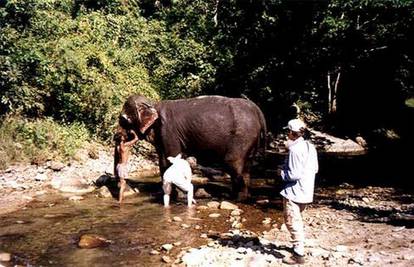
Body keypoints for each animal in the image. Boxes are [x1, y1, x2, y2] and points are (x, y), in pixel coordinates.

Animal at [118, 95, 266, 200]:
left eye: (123, 120)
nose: (117, 136)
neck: (154, 104)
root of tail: (257, 109)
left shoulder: (168, 131)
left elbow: (170, 159)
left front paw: (176, 197)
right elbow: (163, 162)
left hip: (242, 136)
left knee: (233, 163)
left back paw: (235, 198)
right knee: (246, 166)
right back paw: (242, 197)